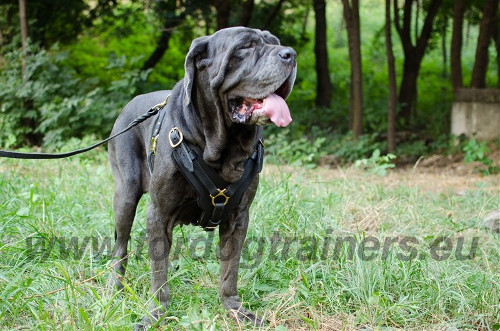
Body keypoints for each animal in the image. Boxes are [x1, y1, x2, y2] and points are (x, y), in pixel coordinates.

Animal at [108, 26, 296, 330]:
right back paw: (115, 286)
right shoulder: (158, 213)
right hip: (125, 194)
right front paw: (156, 313)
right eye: (244, 48)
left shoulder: (238, 217)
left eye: (275, 42)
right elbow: (158, 271)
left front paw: (235, 309)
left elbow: (230, 269)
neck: (220, 148)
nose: (290, 54)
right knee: (120, 246)